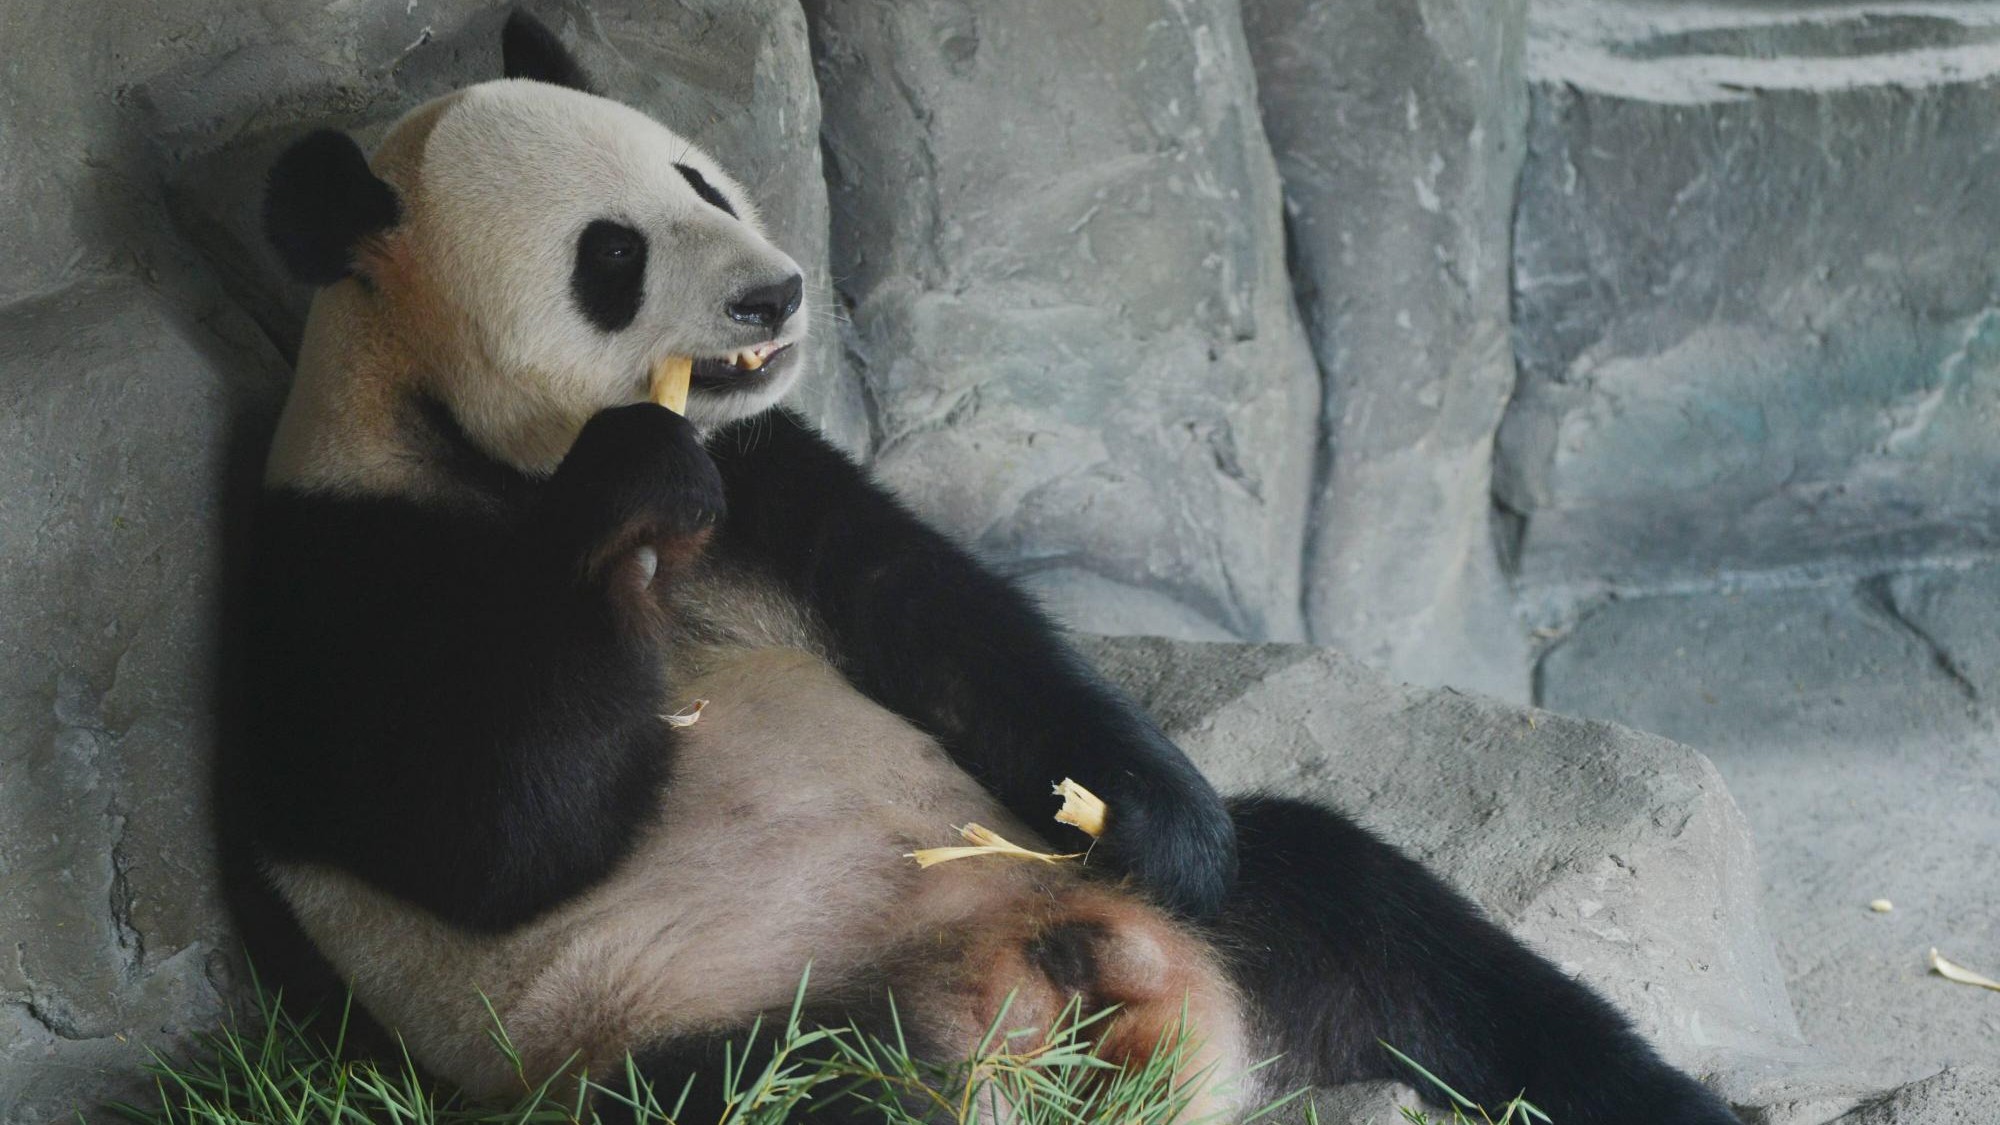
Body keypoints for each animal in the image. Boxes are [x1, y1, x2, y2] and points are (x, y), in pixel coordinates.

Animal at [219, 10, 1744, 1120]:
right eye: (611, 253)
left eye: (697, 176)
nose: (774, 292)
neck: (477, 444)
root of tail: (1091, 987)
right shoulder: (331, 575)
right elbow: (499, 835)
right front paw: (631, 487)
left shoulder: (773, 477)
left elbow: (939, 618)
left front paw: (1158, 816)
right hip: (714, 1030)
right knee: (797, 1096)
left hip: (1221, 925)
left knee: (1400, 937)